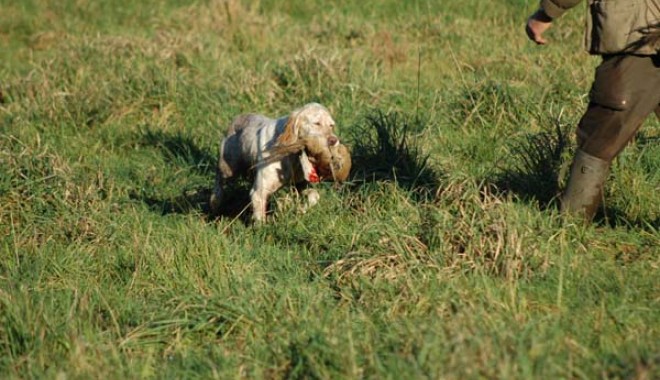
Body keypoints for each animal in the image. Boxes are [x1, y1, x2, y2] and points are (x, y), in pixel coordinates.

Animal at [210, 102, 346, 221]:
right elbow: (260, 220)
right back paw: (214, 203)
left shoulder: (300, 185)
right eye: (316, 123)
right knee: (218, 183)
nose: (334, 140)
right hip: (227, 169)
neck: (292, 157)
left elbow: (314, 195)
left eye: (331, 125)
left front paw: (300, 210)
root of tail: (236, 119)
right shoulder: (259, 192)